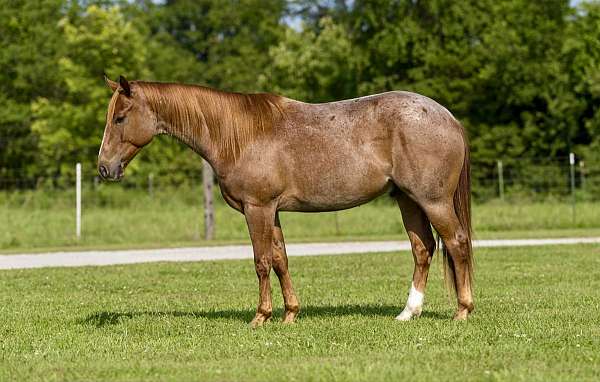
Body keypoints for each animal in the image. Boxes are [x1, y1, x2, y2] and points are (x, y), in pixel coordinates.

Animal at [98, 76, 474, 326]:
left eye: (120, 117)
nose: (104, 168)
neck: (238, 135)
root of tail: (449, 118)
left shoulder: (257, 209)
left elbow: (262, 261)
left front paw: (260, 317)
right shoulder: (272, 212)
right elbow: (281, 260)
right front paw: (290, 314)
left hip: (434, 201)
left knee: (457, 243)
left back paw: (462, 311)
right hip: (408, 200)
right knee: (424, 249)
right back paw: (408, 312)